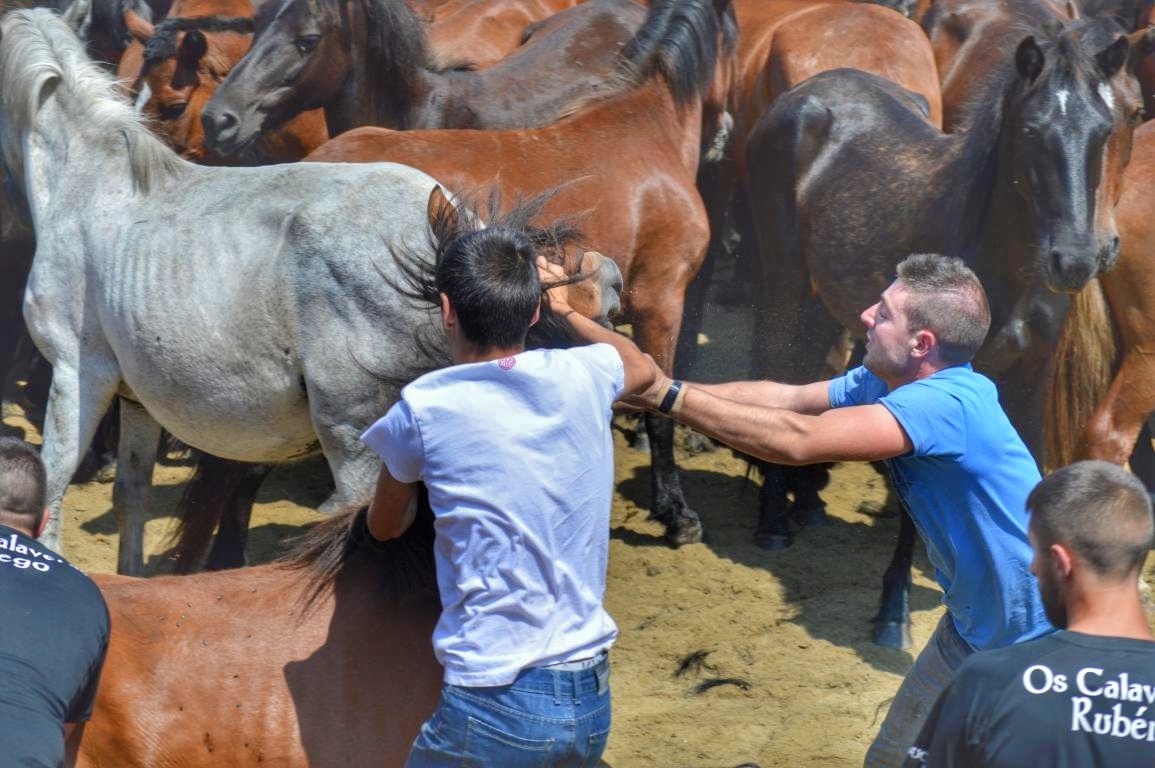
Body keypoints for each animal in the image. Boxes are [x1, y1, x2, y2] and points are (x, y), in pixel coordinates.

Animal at [2, 8, 623, 572]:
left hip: (353, 442)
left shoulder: (77, 373)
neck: (88, 181)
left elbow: (53, 488)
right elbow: (130, 496)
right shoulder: (135, 397)